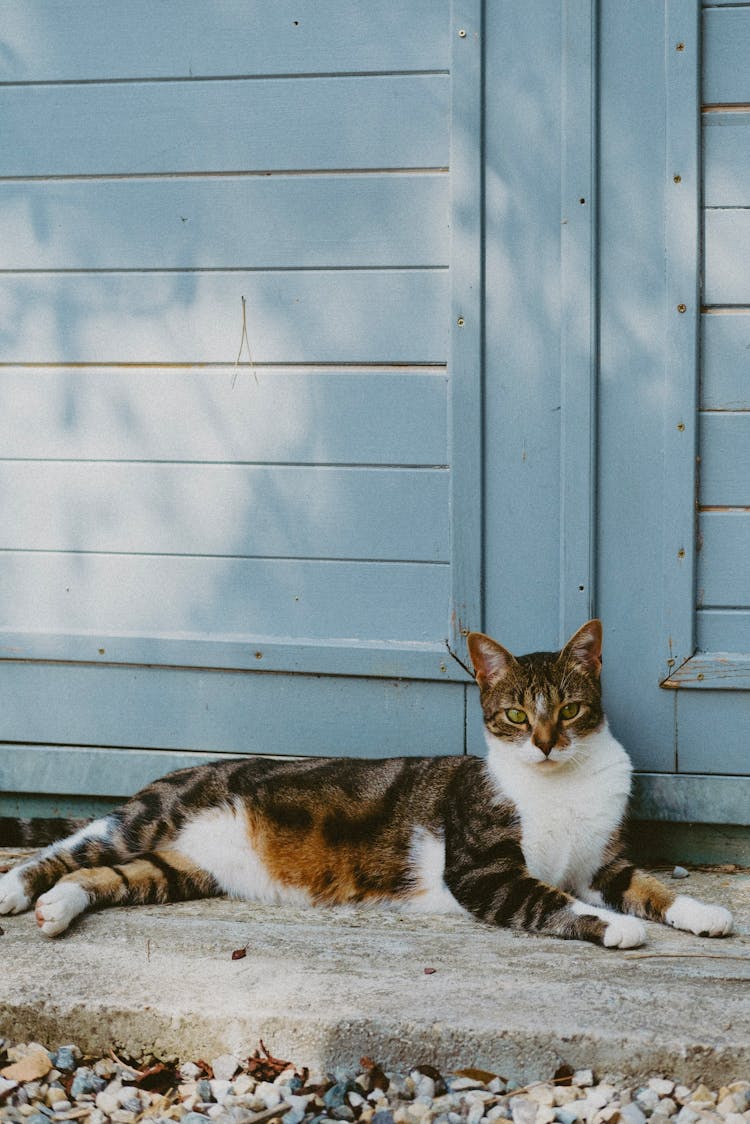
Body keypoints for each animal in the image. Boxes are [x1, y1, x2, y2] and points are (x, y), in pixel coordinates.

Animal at [0, 620, 733, 944]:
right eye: (516, 715)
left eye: (572, 709)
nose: (545, 743)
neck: (561, 786)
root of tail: (185, 767)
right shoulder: (483, 870)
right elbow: (550, 899)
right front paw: (618, 928)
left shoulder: (599, 861)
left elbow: (647, 884)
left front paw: (701, 914)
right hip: (152, 816)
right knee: (65, 850)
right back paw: (16, 890)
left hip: (180, 868)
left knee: (101, 876)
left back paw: (56, 910)